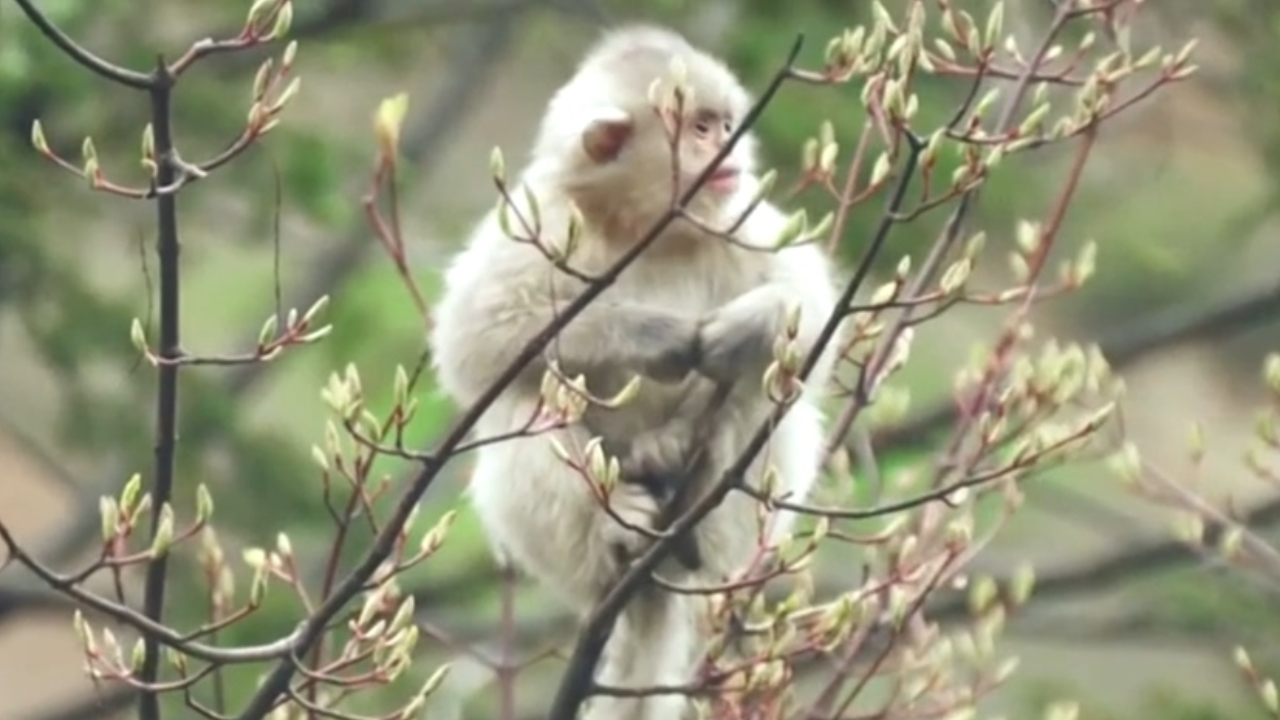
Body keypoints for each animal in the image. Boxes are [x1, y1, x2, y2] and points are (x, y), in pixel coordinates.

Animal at [430, 22, 844, 717]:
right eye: (700, 127)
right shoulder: (542, 215)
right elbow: (475, 340)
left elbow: (811, 311)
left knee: (770, 395)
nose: (728, 149)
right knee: (527, 399)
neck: (651, 226)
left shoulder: (737, 214)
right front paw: (656, 337)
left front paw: (748, 328)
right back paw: (616, 527)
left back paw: (683, 463)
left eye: (725, 123)